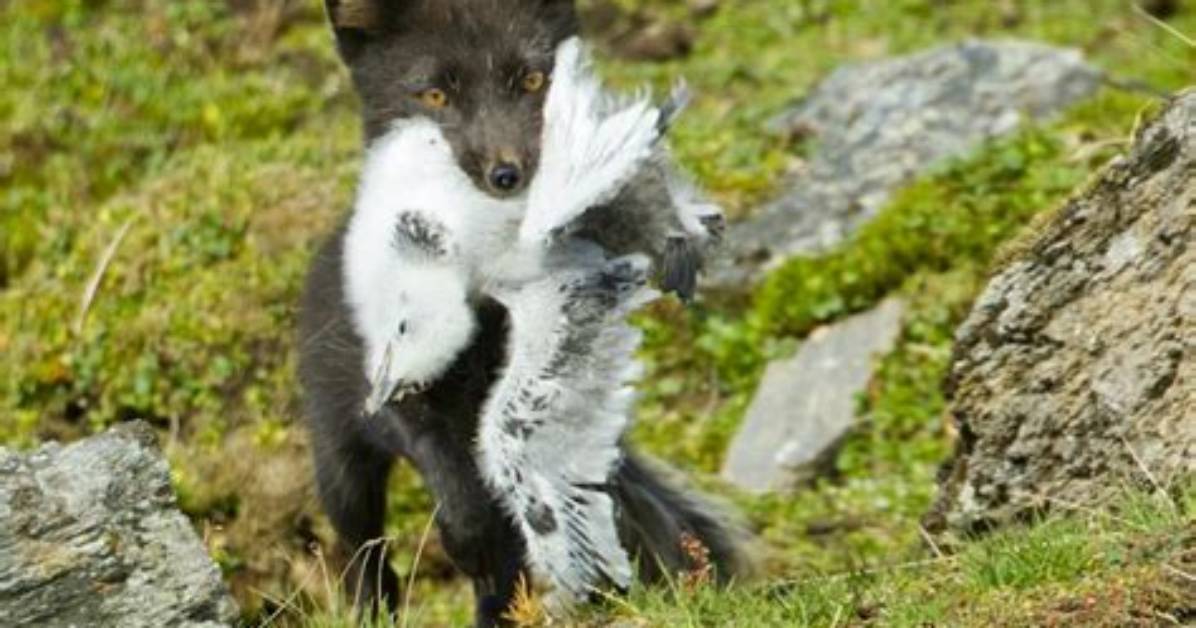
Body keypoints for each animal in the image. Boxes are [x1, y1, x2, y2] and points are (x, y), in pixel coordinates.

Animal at [299, 1, 751, 624]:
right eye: (434, 94)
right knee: (365, 552)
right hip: (338, 460)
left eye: (535, 80)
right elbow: (449, 480)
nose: (508, 173)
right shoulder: (398, 388)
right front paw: (467, 534)